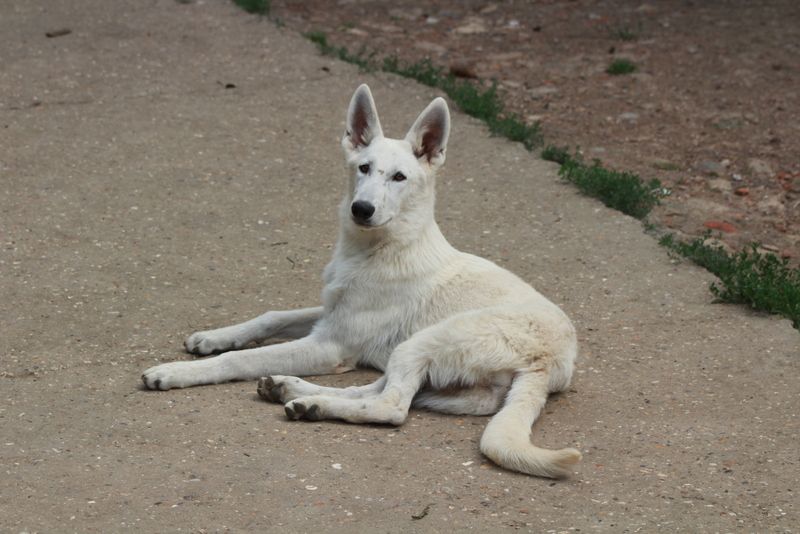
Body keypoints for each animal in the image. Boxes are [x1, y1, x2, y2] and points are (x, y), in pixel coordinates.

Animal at [142, 85, 580, 482]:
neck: (377, 249)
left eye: (399, 177)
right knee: (375, 390)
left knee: (392, 407)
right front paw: (213, 337)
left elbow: (239, 359)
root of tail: (549, 366)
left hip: (424, 341)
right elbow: (271, 316)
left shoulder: (329, 345)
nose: (362, 209)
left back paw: (311, 402)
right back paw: (296, 393)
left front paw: (175, 372)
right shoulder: (330, 315)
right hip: (426, 367)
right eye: (363, 168)